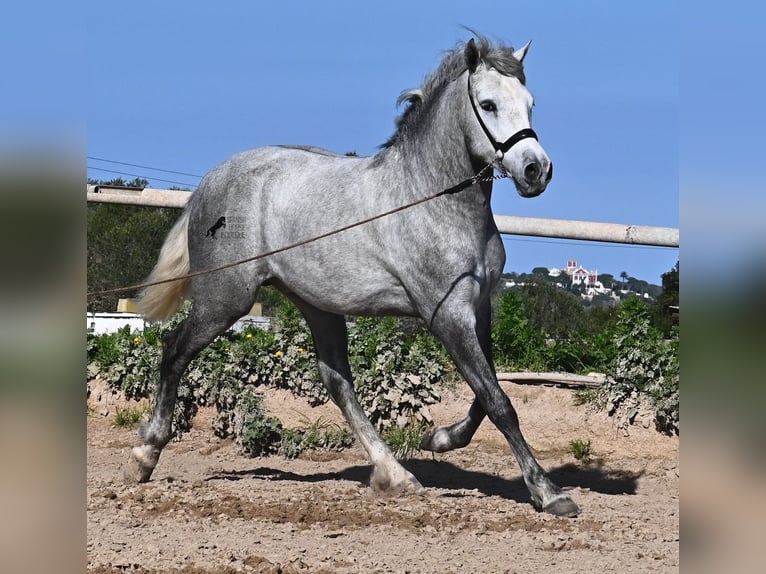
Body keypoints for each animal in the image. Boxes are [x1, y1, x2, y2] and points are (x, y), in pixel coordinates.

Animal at [127, 37, 584, 520]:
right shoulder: (446, 315)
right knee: (173, 350)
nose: (536, 170)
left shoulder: (478, 310)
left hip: (317, 306)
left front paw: (440, 439)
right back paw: (144, 455)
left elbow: (487, 393)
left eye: (530, 104)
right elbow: (499, 402)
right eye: (488, 104)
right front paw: (548, 492)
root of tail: (209, 183)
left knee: (337, 382)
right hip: (225, 299)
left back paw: (395, 474)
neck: (431, 198)